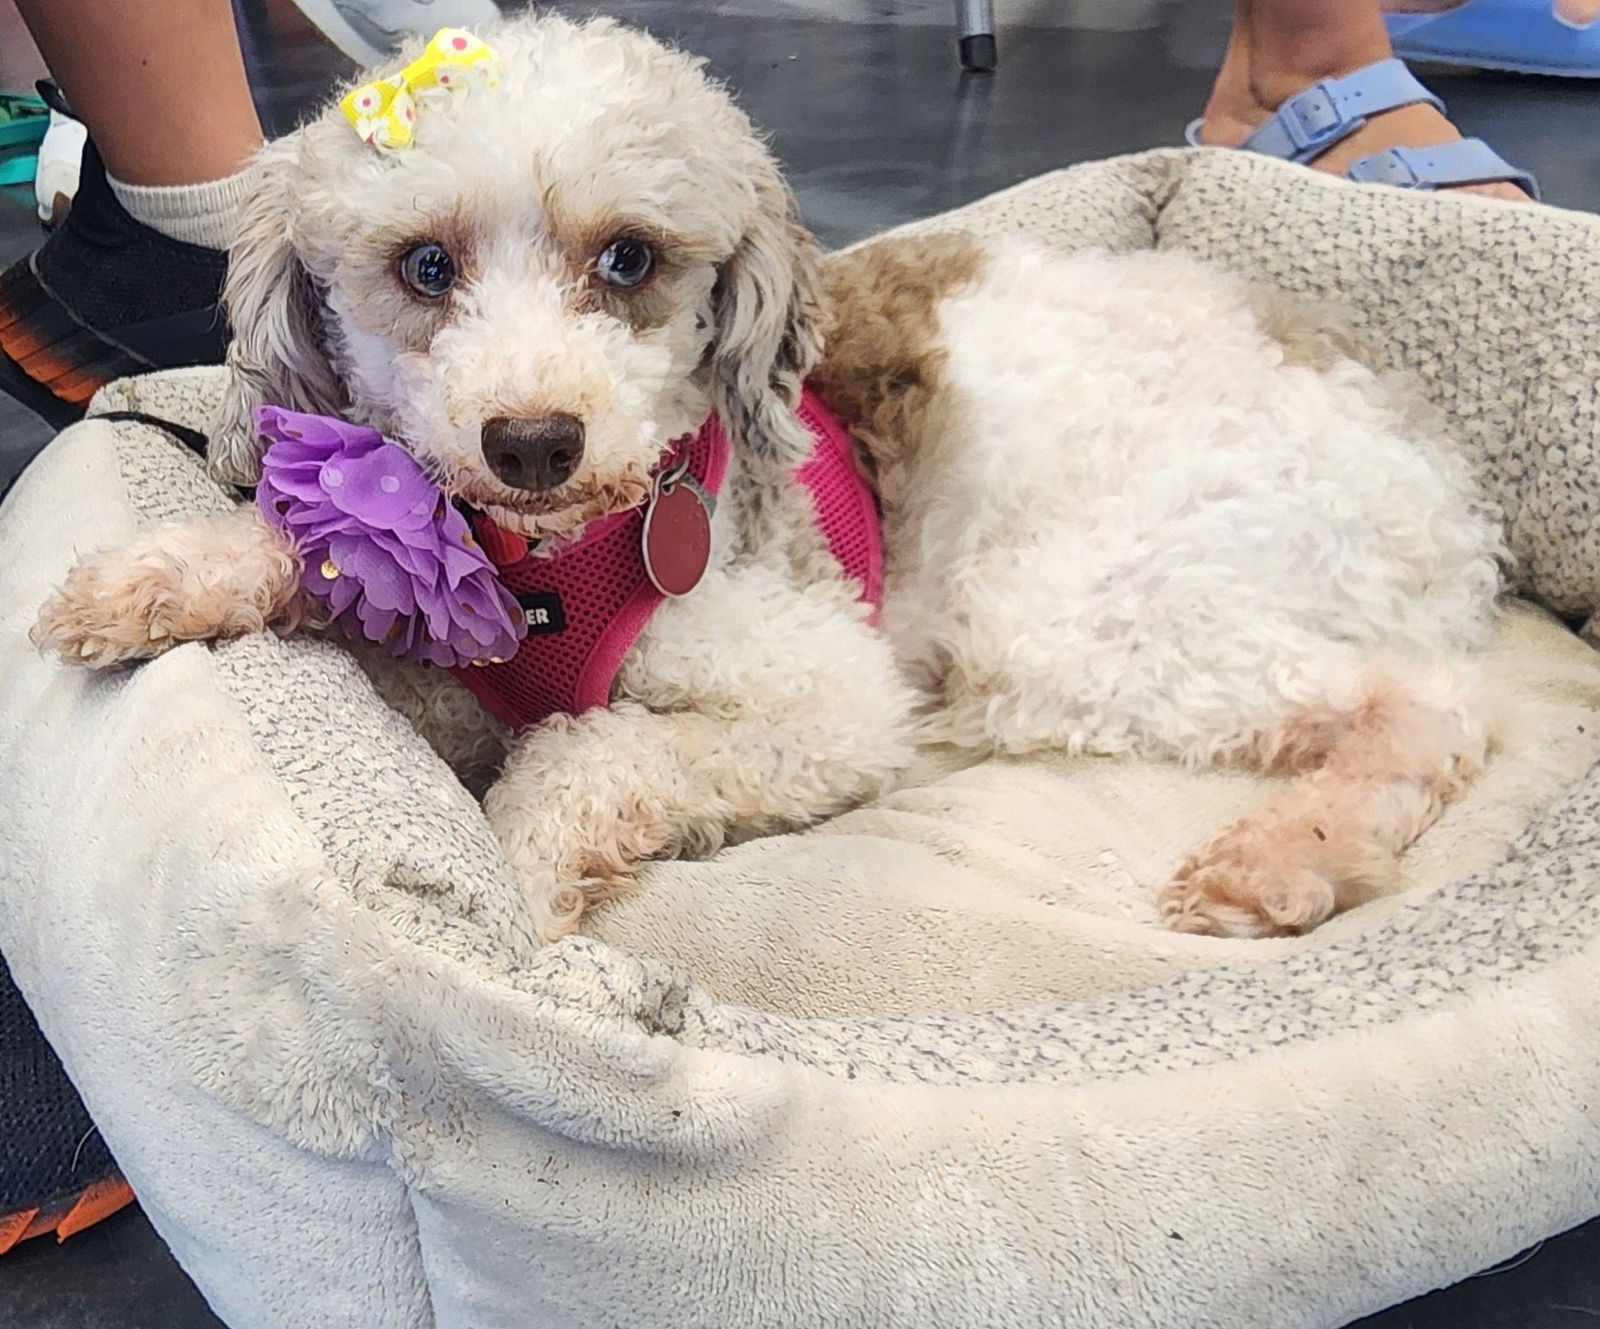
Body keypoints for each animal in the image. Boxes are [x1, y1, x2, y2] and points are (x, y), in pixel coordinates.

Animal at [28, 12, 1510, 946]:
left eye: (628, 259)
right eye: (426, 266)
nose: (533, 443)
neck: (545, 565)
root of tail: (1441, 476)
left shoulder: (829, 707)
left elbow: (590, 751)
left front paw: (523, 887)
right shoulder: (444, 627)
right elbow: (330, 557)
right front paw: (156, 577)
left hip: (1082, 615)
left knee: (1431, 705)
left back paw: (1280, 859)